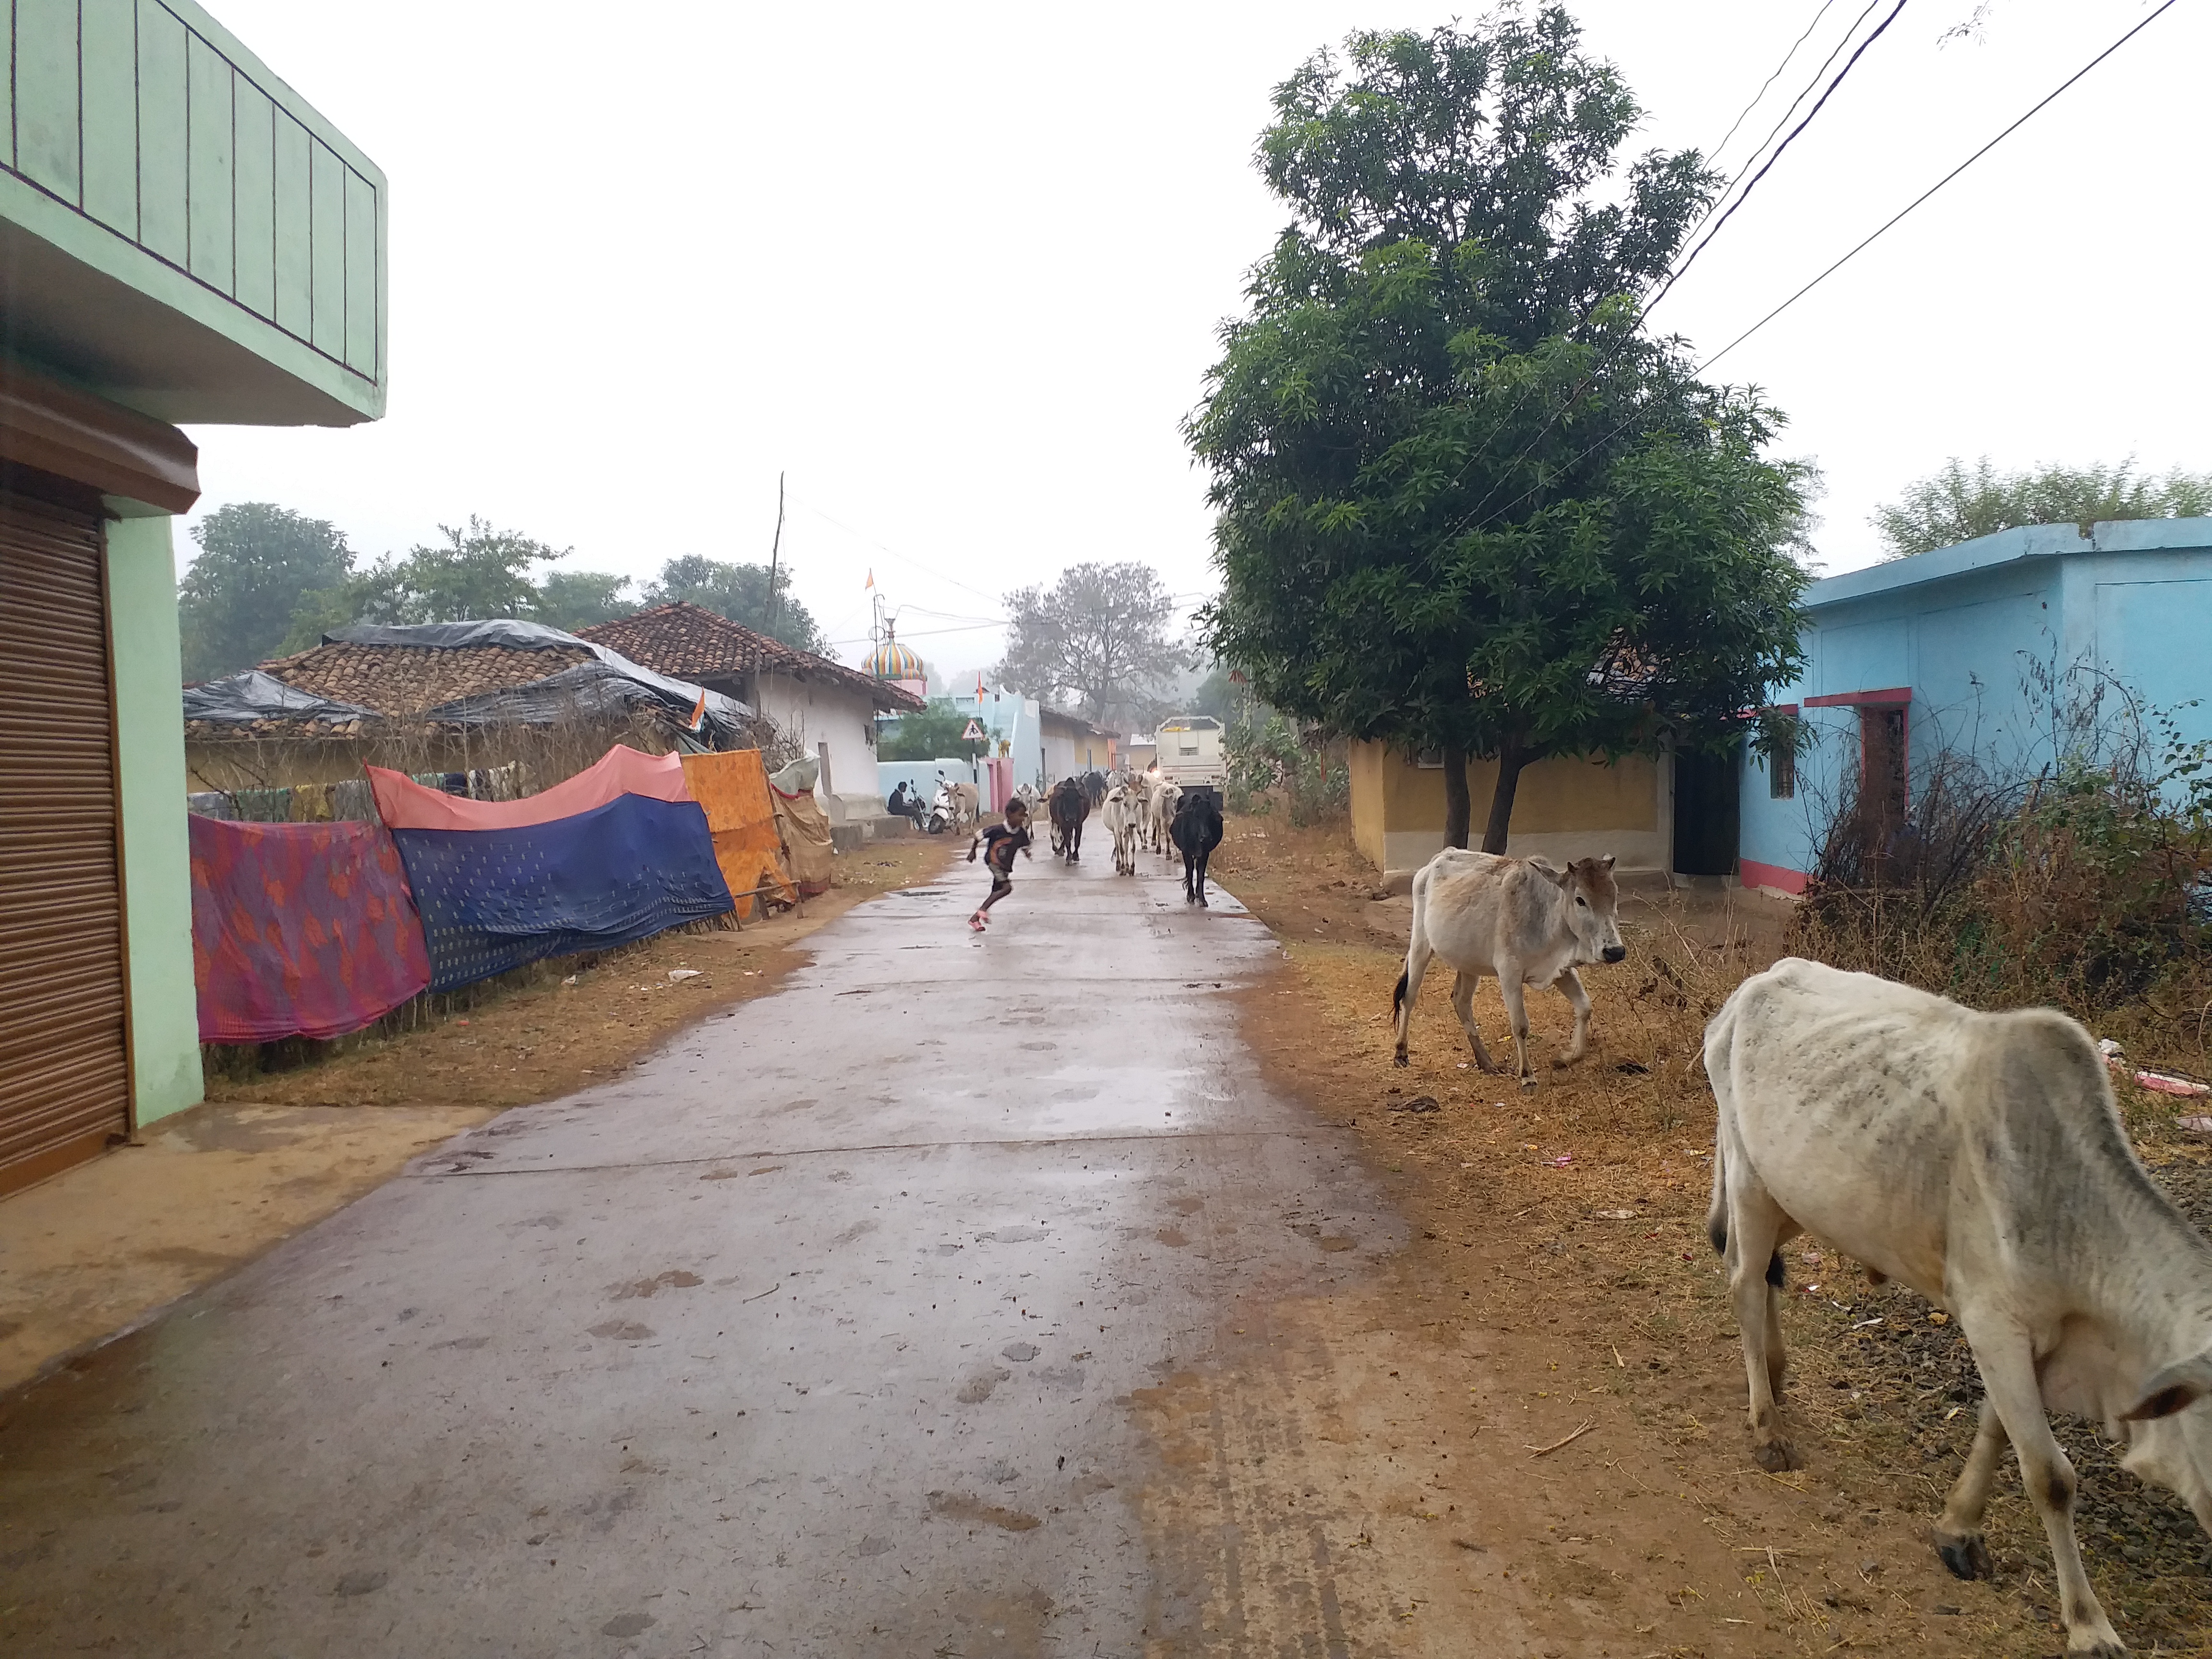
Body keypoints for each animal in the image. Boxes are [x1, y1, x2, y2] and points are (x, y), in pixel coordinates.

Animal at [1048, 779, 1093, 863]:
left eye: (1077, 799)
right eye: (1065, 800)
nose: (1071, 818)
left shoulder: (1079, 825)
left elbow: (1077, 841)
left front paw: (1075, 856)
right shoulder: (1064, 825)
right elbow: (1067, 841)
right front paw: (1069, 858)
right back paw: (1060, 850)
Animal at [1101, 783, 1150, 876]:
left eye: (1137, 804)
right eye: (1125, 804)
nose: (1131, 824)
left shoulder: (1132, 830)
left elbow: (1132, 848)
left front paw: (1131, 868)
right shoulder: (1117, 831)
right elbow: (1121, 850)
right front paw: (1123, 869)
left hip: (1127, 833)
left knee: (1126, 847)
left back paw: (1127, 866)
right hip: (1115, 832)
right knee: (1117, 846)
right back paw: (1119, 865)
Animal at [1177, 792, 1230, 911]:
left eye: (1209, 815)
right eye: (1196, 816)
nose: (1205, 837)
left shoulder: (1205, 853)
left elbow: (1200, 874)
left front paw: (1202, 899)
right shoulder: (1186, 852)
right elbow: (1190, 872)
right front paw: (1190, 895)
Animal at [1398, 849, 1628, 1083]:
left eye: (1614, 895)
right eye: (1580, 900)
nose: (1615, 951)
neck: (1546, 915)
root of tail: (1440, 857)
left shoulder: (1561, 970)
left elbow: (1584, 1007)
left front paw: (1569, 1057)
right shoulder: (1509, 973)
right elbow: (1520, 1026)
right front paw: (1527, 1075)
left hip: (1469, 963)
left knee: (1461, 1002)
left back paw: (1486, 1062)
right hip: (1421, 944)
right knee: (1409, 996)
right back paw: (1401, 1052)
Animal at [1707, 960, 2212, 1659]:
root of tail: (1749, 990)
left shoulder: (2023, 1338)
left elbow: (1997, 1432)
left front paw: (1959, 1530)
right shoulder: (1994, 1322)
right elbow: (2051, 1477)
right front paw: (2089, 1625)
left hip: (1794, 1195)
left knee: (1766, 1278)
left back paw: (1779, 1376)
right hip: (1749, 1180)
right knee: (1746, 1283)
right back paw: (1767, 1426)